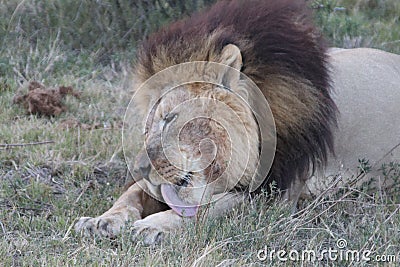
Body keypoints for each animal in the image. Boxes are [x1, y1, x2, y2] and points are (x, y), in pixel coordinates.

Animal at [75, 0, 400, 245]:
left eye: (170, 118)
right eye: (147, 125)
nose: (140, 168)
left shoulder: (278, 193)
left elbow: (211, 208)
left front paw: (153, 225)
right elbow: (131, 194)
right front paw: (102, 220)